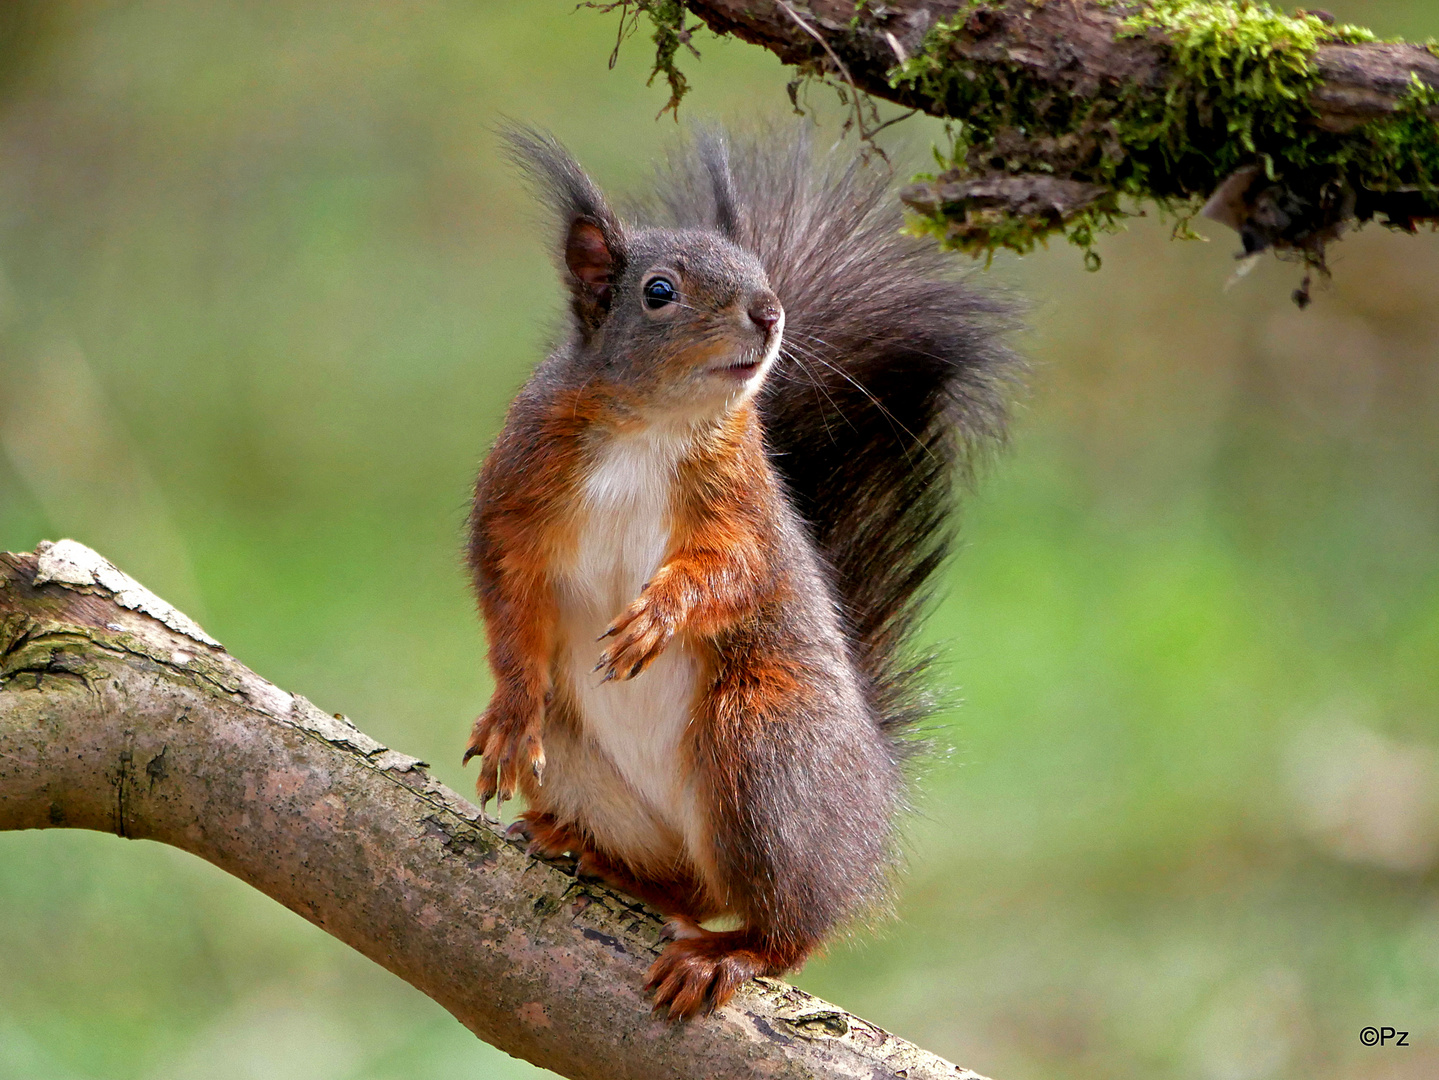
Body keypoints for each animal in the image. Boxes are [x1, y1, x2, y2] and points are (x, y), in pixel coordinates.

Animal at [463, 126, 1013, 1023]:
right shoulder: (515, 493)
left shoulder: (743, 506)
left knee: (785, 926)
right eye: (658, 291)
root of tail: (870, 811)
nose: (769, 312)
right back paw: (585, 849)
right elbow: (507, 600)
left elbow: (732, 573)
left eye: (761, 272)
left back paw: (729, 953)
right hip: (594, 764)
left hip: (761, 749)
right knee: (685, 886)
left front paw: (657, 614)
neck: (653, 427)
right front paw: (511, 716)